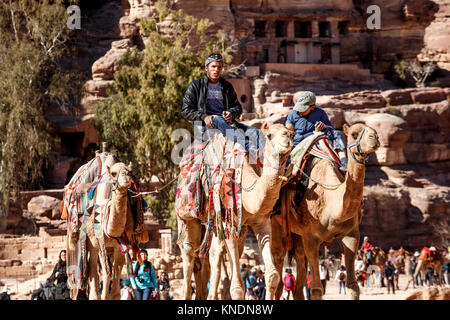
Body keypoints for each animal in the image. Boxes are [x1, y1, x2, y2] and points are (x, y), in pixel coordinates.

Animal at [178, 123, 294, 300]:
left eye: (291, 133)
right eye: (269, 135)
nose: (287, 139)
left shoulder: (261, 222)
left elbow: (272, 276)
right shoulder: (230, 223)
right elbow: (238, 288)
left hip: (221, 224)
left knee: (215, 253)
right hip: (187, 214)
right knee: (189, 252)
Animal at [270, 123, 380, 300]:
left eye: (374, 131)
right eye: (354, 134)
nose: (374, 138)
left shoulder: (352, 235)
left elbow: (353, 286)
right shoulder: (311, 238)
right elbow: (316, 289)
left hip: (297, 234)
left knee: (299, 268)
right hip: (277, 222)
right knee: (279, 263)